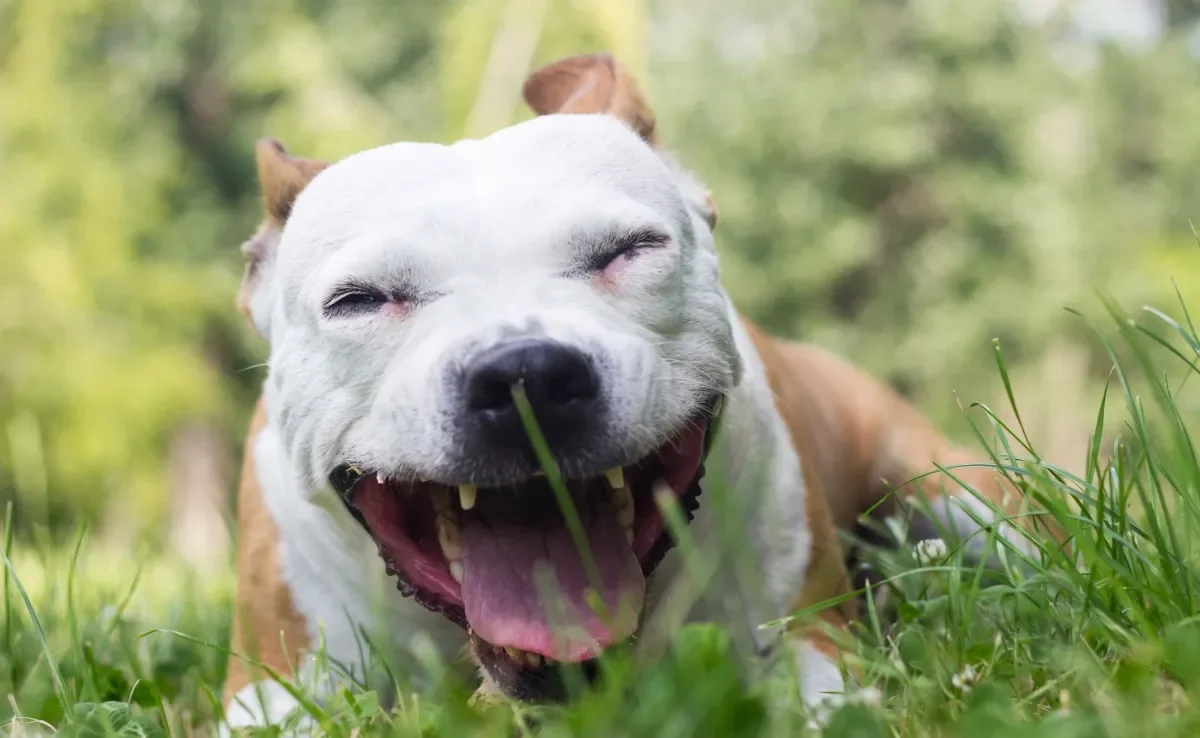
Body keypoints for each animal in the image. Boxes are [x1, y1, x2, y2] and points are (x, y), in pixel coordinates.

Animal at [223, 53, 1041, 734]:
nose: (525, 375)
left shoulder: (808, 638)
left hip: (966, 497)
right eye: (359, 300)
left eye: (630, 250)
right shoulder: (269, 686)